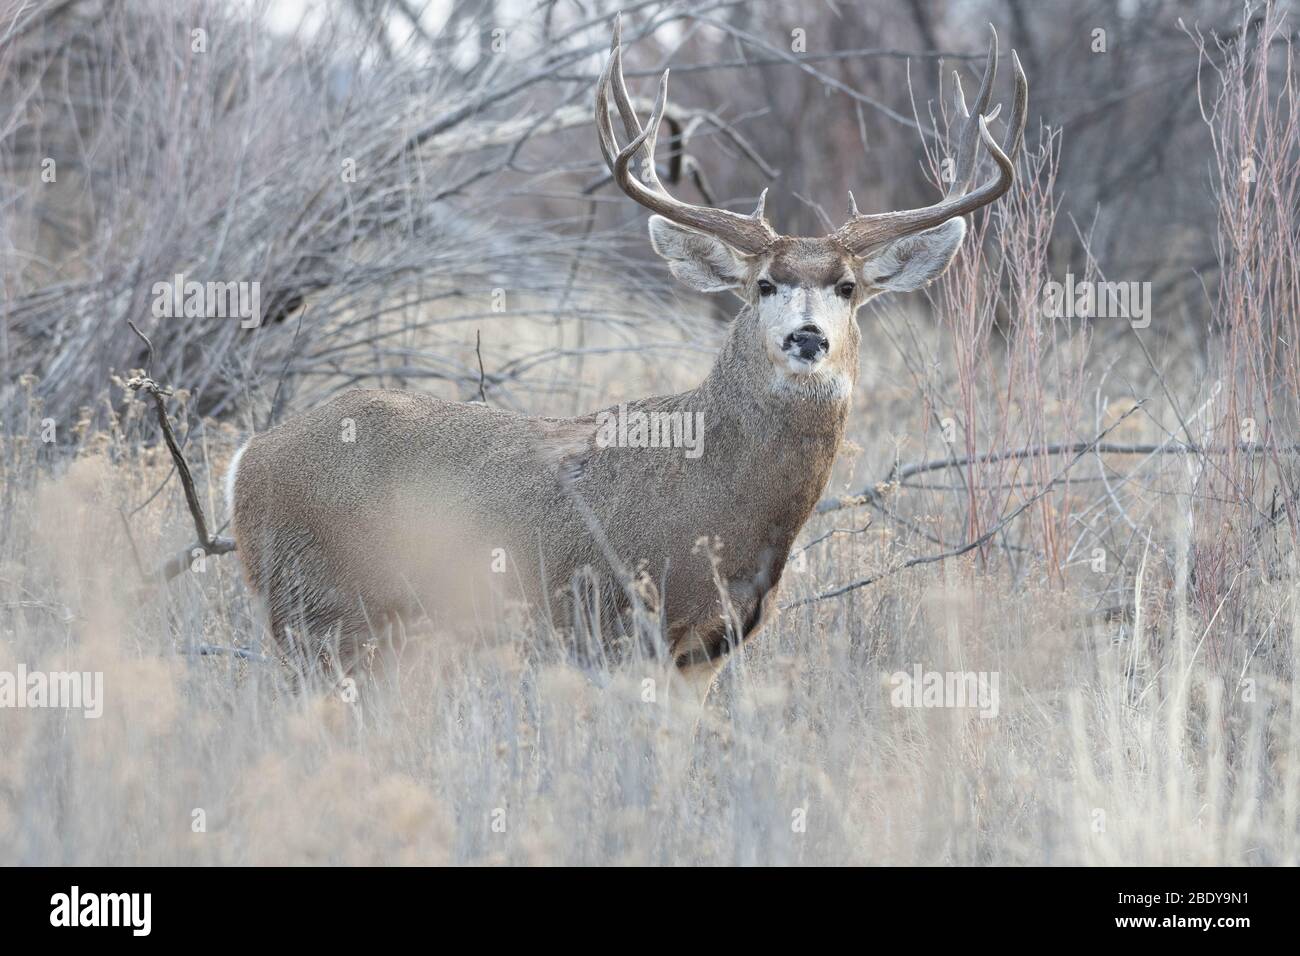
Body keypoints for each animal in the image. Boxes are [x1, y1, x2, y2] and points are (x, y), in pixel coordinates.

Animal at [226, 16, 1024, 702]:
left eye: (849, 287)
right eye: (764, 283)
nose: (807, 338)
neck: (728, 502)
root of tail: (246, 460)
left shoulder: (706, 651)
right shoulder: (620, 625)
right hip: (318, 610)